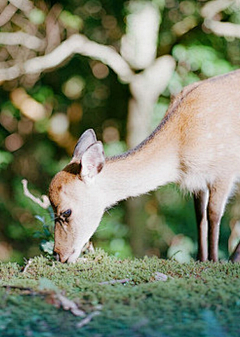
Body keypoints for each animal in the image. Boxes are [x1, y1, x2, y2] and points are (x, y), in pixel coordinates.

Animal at [48, 69, 240, 262]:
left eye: (66, 212)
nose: (57, 254)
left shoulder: (225, 169)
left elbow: (213, 214)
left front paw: (214, 261)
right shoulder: (198, 183)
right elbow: (200, 216)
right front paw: (201, 259)